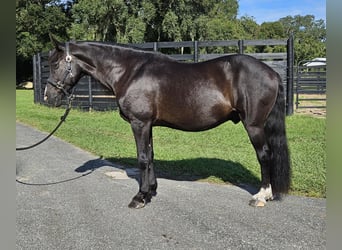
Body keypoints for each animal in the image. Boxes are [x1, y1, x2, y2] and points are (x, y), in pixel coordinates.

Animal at [44, 36, 290, 209]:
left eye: (55, 64)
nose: (48, 97)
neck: (130, 72)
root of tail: (272, 73)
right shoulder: (148, 124)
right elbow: (150, 156)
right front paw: (151, 191)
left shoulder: (139, 123)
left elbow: (142, 158)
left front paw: (139, 197)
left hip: (254, 125)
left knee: (264, 155)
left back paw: (262, 195)